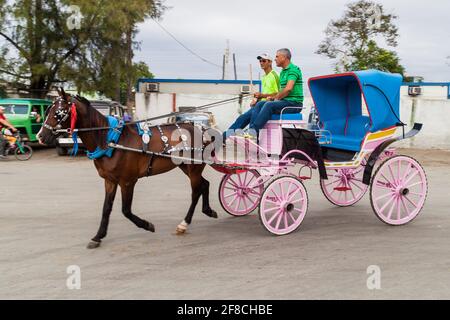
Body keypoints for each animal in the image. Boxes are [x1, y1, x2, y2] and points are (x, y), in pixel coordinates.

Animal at [37, 89, 217, 249]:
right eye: (48, 110)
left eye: (58, 112)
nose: (40, 136)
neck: (111, 141)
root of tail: (201, 130)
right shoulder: (110, 181)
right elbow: (106, 209)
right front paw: (98, 236)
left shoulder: (127, 181)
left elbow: (126, 210)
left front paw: (147, 225)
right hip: (185, 166)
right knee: (204, 184)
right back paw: (208, 211)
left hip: (193, 167)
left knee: (196, 192)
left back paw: (184, 223)